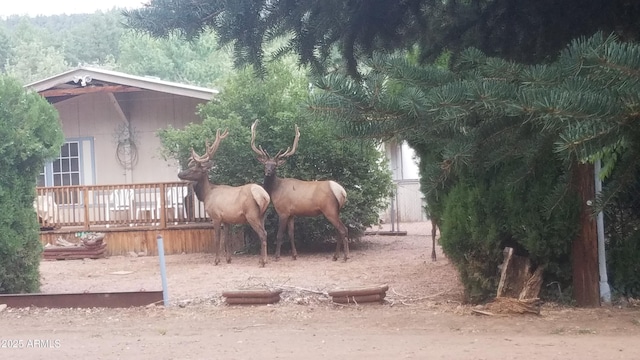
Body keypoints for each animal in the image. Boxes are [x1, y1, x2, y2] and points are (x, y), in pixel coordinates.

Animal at [179, 129, 272, 268]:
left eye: (195, 169)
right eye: (190, 167)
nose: (180, 173)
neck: (206, 195)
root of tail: (264, 196)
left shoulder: (216, 216)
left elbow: (218, 239)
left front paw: (216, 260)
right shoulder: (227, 219)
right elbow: (227, 240)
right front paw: (228, 259)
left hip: (252, 214)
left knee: (263, 234)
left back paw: (263, 262)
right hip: (262, 215)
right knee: (265, 232)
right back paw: (262, 260)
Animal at [251, 120, 350, 262]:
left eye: (275, 166)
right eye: (265, 164)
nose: (268, 172)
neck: (275, 191)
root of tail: (342, 192)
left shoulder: (283, 211)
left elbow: (279, 235)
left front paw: (276, 256)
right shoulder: (292, 214)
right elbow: (291, 234)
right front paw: (294, 255)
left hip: (329, 209)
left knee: (343, 229)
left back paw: (346, 256)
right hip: (336, 210)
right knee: (339, 231)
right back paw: (335, 256)